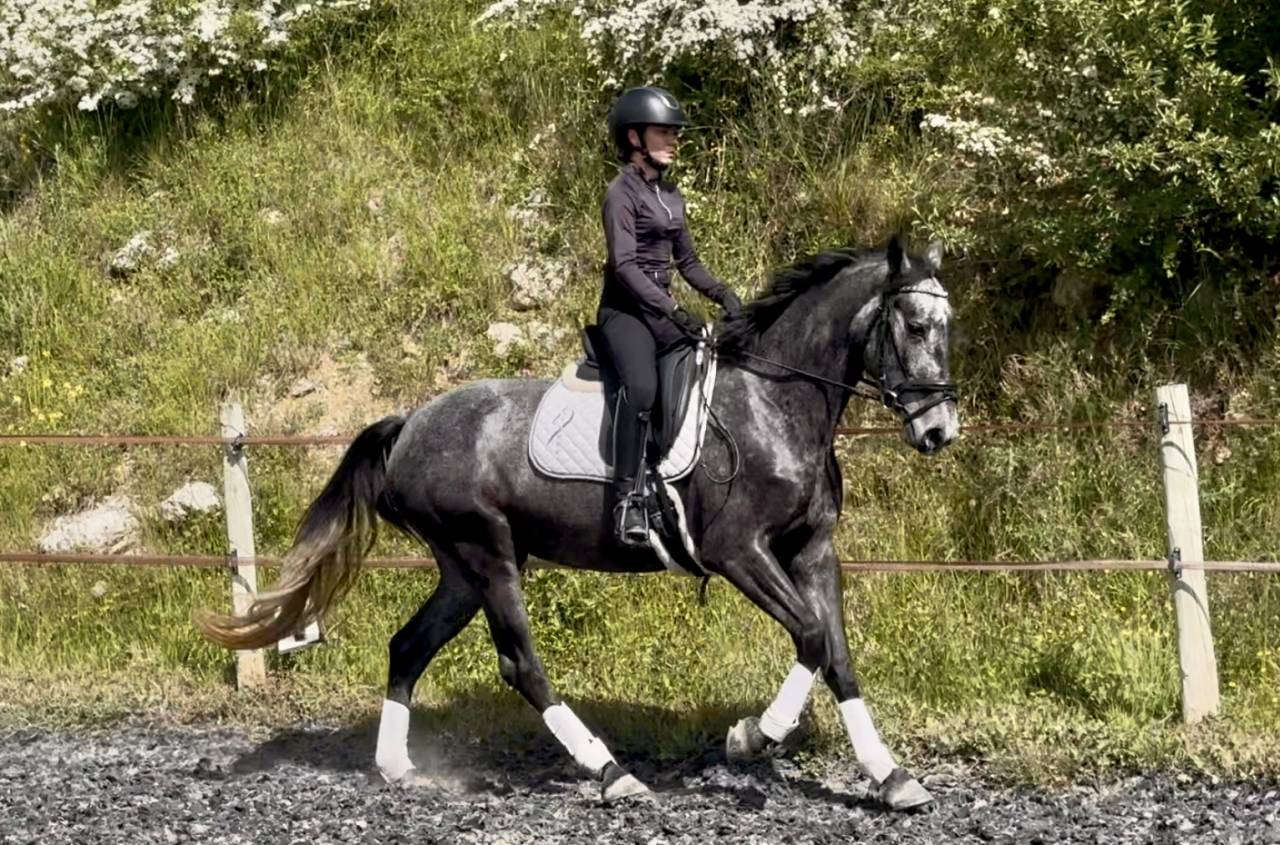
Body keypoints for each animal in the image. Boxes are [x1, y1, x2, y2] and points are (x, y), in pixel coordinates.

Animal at [195, 235, 959, 811]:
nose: (939, 431)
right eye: (915, 326)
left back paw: (397, 766)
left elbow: (836, 654)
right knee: (520, 663)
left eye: (947, 328)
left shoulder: (811, 552)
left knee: (407, 646)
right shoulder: (739, 551)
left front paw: (892, 777)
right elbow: (810, 637)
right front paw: (751, 737)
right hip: (487, 552)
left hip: (462, 569)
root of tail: (410, 424)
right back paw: (611, 772)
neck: (776, 403)